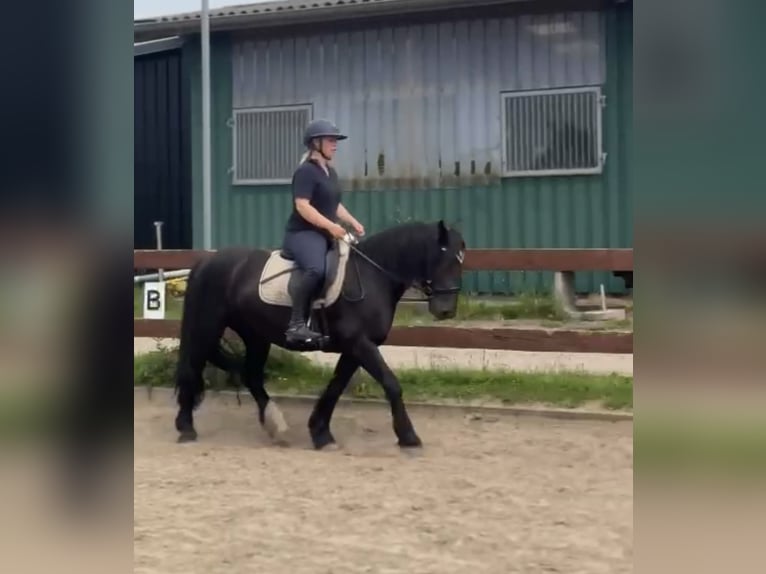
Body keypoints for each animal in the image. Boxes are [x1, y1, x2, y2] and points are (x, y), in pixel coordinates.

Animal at [173, 219, 466, 450]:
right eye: (442, 258)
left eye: (460, 262)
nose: (445, 310)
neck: (372, 276)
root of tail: (207, 261)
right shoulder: (360, 344)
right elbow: (391, 383)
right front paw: (408, 435)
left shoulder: (355, 348)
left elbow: (335, 387)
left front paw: (320, 432)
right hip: (208, 325)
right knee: (194, 366)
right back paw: (186, 427)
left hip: (255, 335)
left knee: (250, 375)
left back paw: (275, 424)